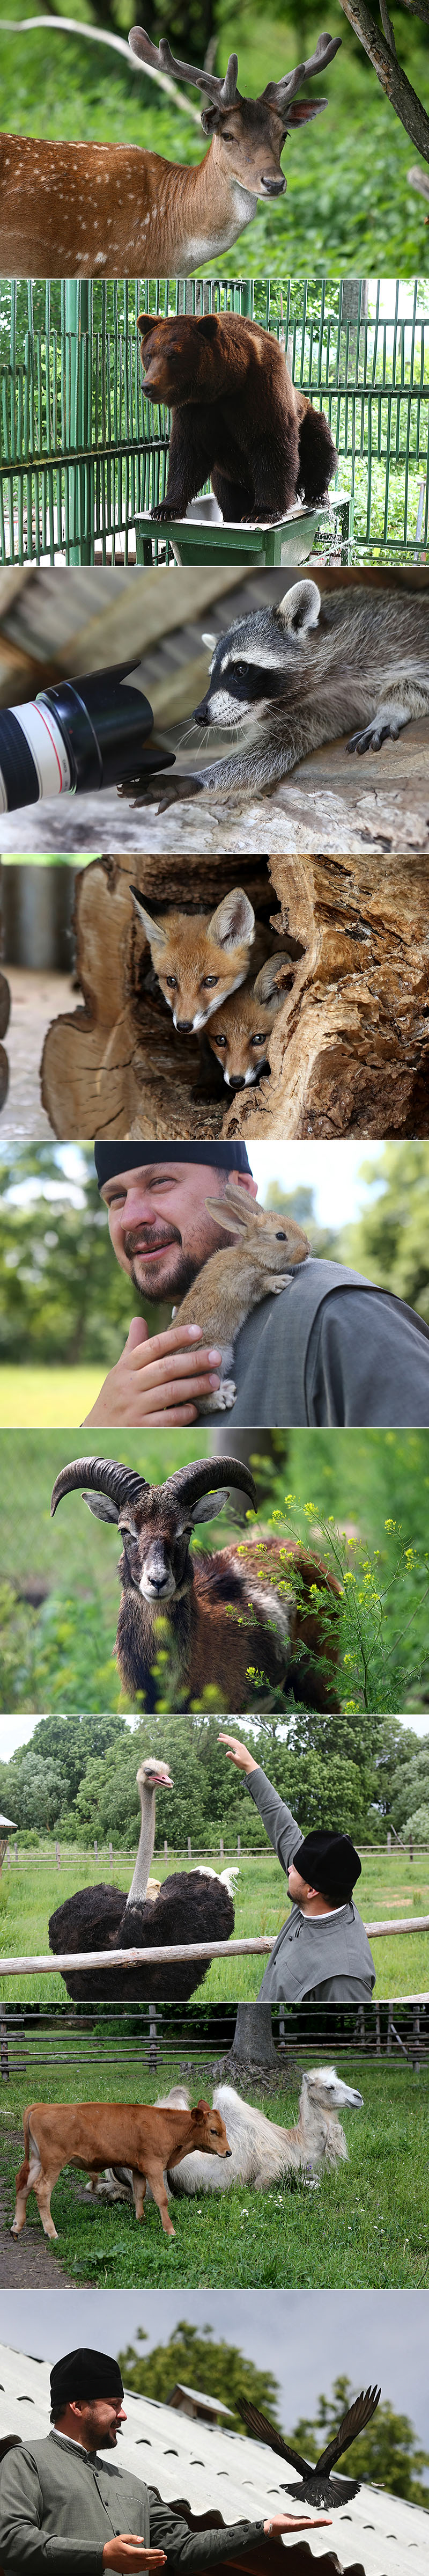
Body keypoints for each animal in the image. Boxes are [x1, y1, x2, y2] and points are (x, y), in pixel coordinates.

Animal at [11, 2101, 231, 2246]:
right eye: (214, 2131)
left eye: (225, 2129)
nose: (229, 2152)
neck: (166, 2126)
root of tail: (42, 2106)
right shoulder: (154, 2166)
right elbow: (161, 2198)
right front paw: (169, 2230)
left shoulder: (138, 2168)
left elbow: (139, 2193)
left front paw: (141, 2219)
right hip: (53, 2162)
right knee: (42, 2190)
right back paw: (52, 2232)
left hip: (37, 2160)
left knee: (23, 2184)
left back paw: (17, 2227)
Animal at [137, 309, 339, 525]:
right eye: (149, 355)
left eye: (173, 356)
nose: (148, 386)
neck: (225, 386)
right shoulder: (195, 410)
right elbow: (188, 453)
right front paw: (165, 508)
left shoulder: (261, 392)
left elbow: (271, 446)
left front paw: (262, 512)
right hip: (225, 476)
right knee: (228, 496)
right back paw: (234, 516)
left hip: (307, 419)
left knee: (320, 446)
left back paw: (317, 496)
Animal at [172, 1179, 309, 1422]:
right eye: (280, 1236)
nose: (308, 1250)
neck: (252, 1255)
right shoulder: (240, 1281)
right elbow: (260, 1284)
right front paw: (280, 1281)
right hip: (216, 1354)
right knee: (197, 1397)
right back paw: (223, 1396)